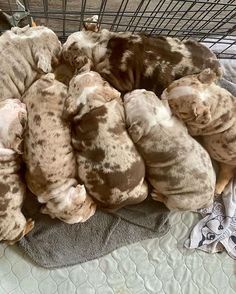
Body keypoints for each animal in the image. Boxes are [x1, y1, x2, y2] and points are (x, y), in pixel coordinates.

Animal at [61, 16, 222, 95]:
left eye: (68, 56)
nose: (61, 50)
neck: (99, 44)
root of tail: (218, 65)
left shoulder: (118, 79)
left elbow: (96, 70)